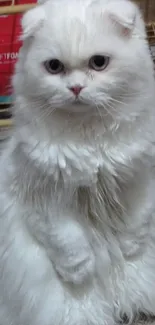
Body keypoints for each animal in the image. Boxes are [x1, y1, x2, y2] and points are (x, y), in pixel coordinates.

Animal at [0, 0, 155, 322]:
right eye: (54, 67)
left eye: (98, 63)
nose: (75, 89)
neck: (90, 142)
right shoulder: (45, 199)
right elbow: (69, 245)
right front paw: (80, 274)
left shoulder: (137, 179)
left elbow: (136, 225)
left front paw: (129, 251)